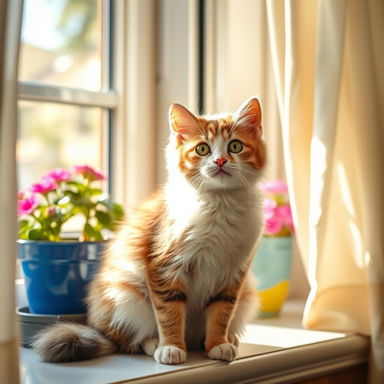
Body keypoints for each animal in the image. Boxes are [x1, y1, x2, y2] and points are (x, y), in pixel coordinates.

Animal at [33, 96, 268, 364]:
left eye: (235, 146)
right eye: (202, 149)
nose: (220, 161)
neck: (220, 205)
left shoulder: (233, 273)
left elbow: (221, 313)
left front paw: (218, 343)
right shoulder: (165, 267)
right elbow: (169, 314)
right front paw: (172, 347)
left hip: (247, 296)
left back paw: (226, 339)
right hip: (126, 293)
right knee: (128, 340)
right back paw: (155, 343)